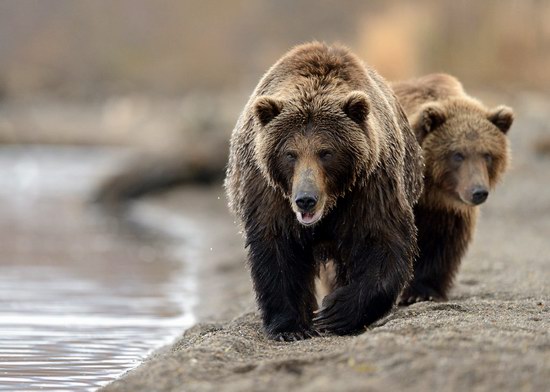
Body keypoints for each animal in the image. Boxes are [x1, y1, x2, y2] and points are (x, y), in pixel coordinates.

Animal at [226, 42, 424, 340]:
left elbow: (383, 240)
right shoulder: (269, 192)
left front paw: (336, 312)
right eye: (290, 154)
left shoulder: (371, 185)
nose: (306, 200)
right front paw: (290, 327)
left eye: (326, 152)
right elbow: (277, 249)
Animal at [392, 74, 516, 306]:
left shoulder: (449, 212)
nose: (478, 191)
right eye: (457, 154)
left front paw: (422, 291)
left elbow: (442, 246)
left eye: (487, 154)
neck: (430, 193)